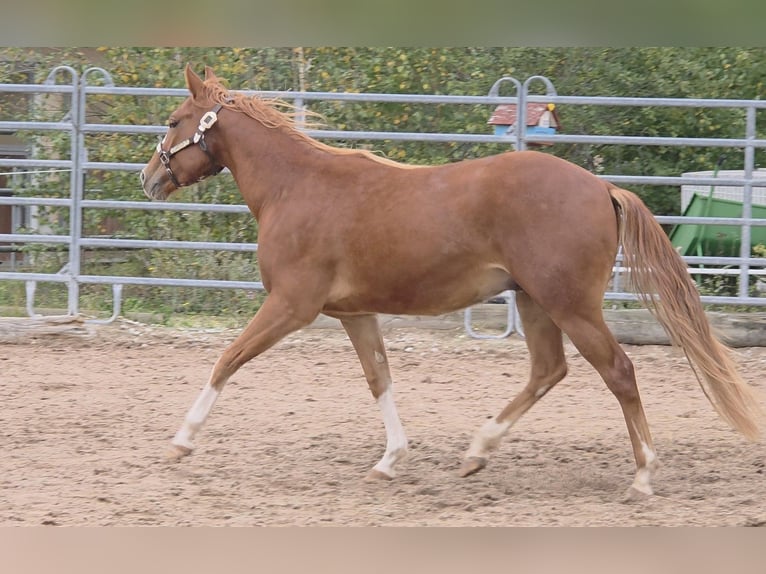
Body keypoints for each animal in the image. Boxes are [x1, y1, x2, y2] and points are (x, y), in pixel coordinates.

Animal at [140, 65, 762, 499]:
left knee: (619, 372)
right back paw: (477, 451)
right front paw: (390, 461)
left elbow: (227, 360)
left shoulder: (292, 306)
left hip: (570, 305)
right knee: (548, 370)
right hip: (535, 301)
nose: (148, 178)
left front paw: (181, 441)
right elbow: (379, 379)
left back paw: (642, 478)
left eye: (172, 122)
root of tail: (601, 187)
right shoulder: (354, 313)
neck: (296, 188)